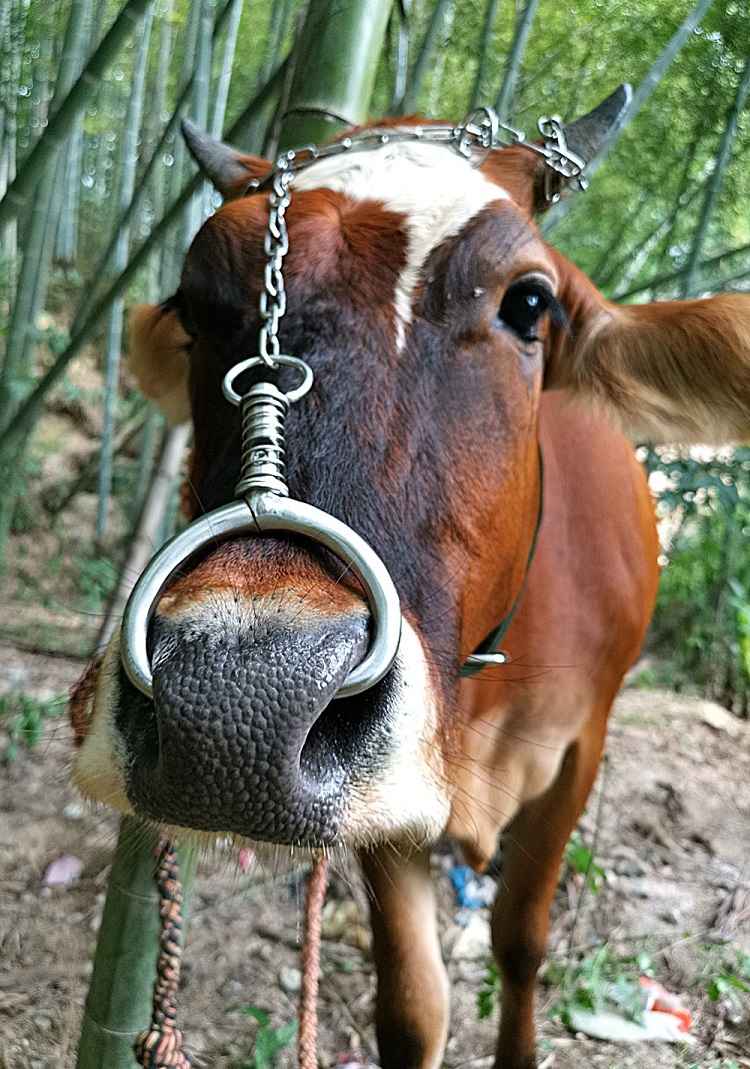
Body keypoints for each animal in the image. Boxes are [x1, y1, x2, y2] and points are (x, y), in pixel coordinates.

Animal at [73, 91, 750, 1069]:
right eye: (195, 306)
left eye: (530, 301)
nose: (232, 699)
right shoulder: (391, 810)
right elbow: (412, 1002)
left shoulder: (581, 748)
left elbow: (523, 939)